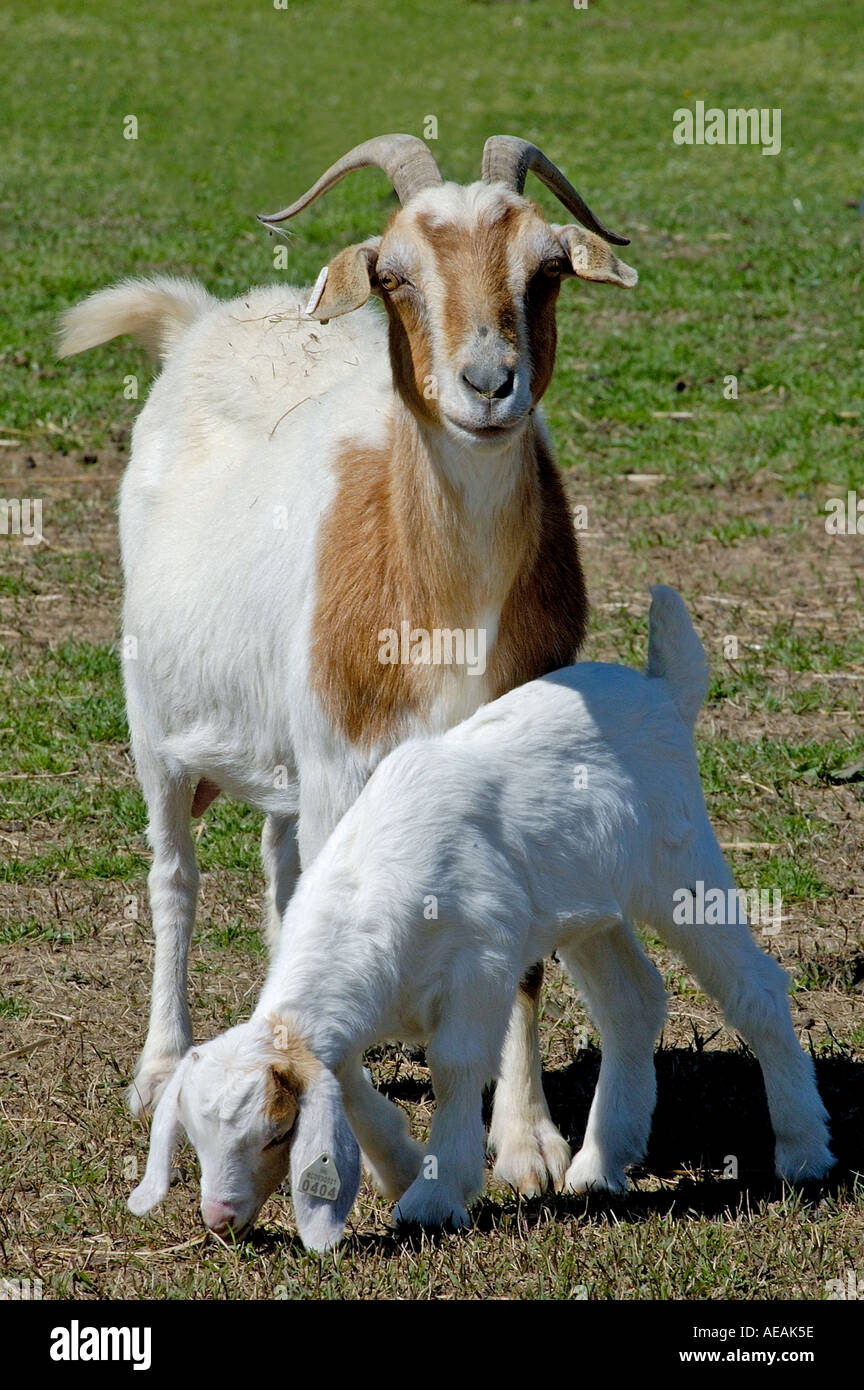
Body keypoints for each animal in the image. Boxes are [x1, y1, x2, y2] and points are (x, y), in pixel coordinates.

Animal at [58, 134, 638, 1195]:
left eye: (545, 268)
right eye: (394, 273)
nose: (488, 384)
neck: (447, 612)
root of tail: (202, 319)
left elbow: (517, 953)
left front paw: (528, 1143)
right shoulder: (341, 763)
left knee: (282, 870)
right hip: (158, 726)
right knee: (173, 876)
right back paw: (159, 1068)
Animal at [128, 588, 834, 1250]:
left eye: (278, 1133)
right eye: (194, 1137)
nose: (220, 1219)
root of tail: (659, 689)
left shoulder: (483, 963)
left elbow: (457, 1063)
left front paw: (436, 1194)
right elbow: (350, 1079)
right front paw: (401, 1167)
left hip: (681, 867)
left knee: (753, 987)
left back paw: (803, 1148)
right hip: (588, 907)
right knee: (631, 1000)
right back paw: (601, 1165)